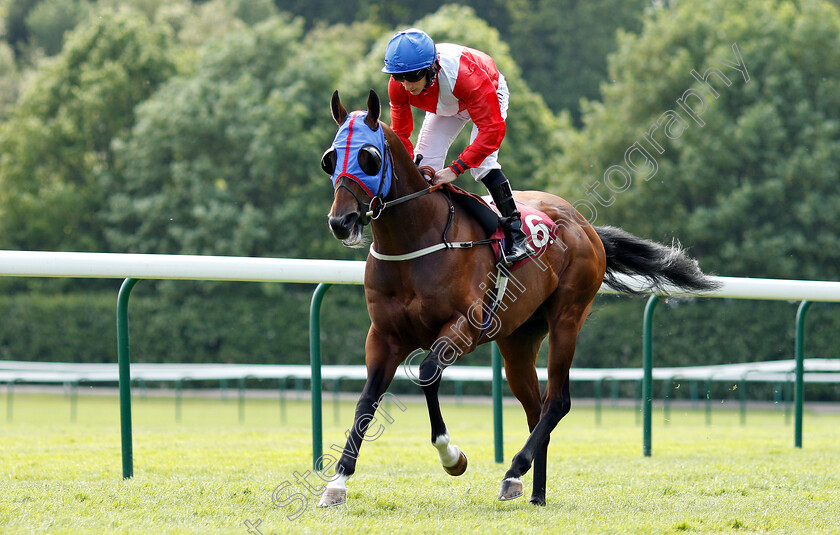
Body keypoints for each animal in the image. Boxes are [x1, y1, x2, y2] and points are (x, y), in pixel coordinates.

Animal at [316, 90, 716, 508]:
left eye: (369, 157)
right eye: (329, 159)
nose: (341, 222)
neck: (415, 241)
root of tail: (585, 225)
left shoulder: (464, 327)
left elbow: (426, 375)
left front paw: (452, 457)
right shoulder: (383, 337)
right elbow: (366, 402)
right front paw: (337, 482)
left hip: (567, 317)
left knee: (557, 401)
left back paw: (514, 470)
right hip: (518, 340)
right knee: (535, 408)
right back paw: (534, 491)